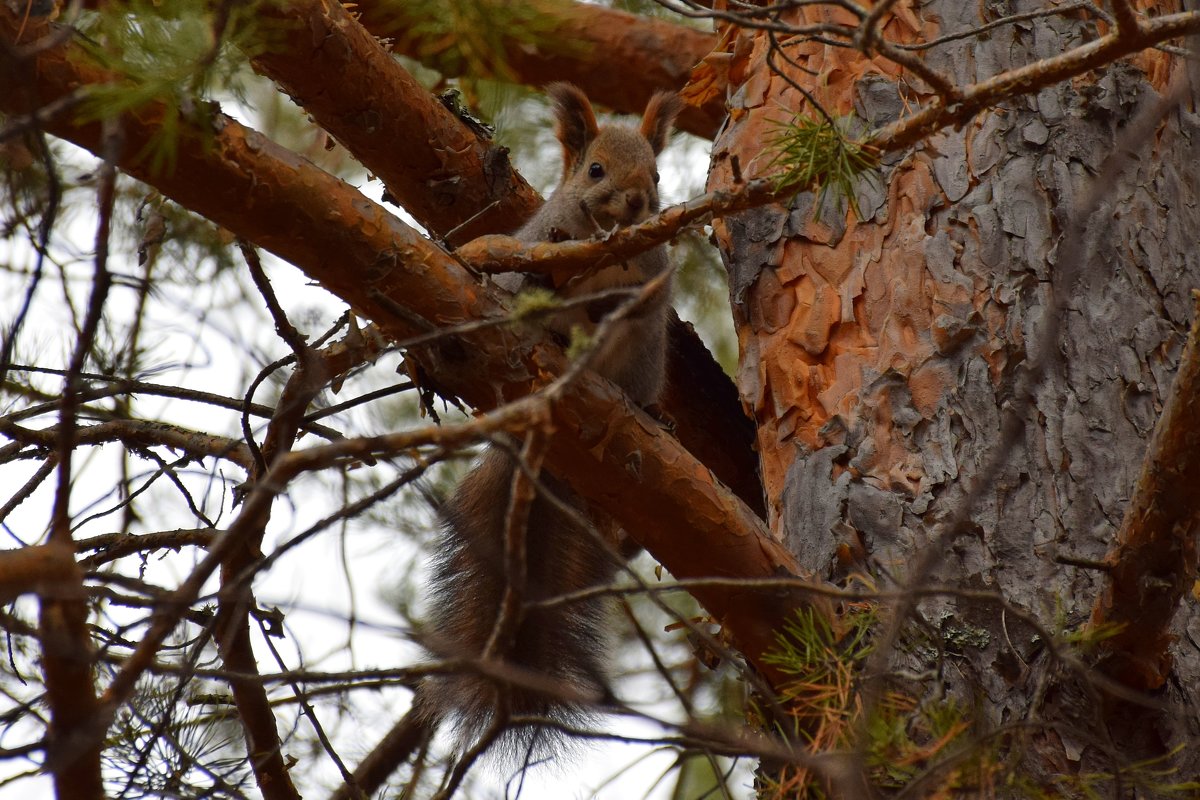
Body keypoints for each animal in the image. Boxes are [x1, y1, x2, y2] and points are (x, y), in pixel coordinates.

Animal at [422, 84, 686, 762]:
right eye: (595, 170)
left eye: (656, 174)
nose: (638, 201)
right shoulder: (539, 251)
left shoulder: (651, 281)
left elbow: (642, 297)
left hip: (646, 363)